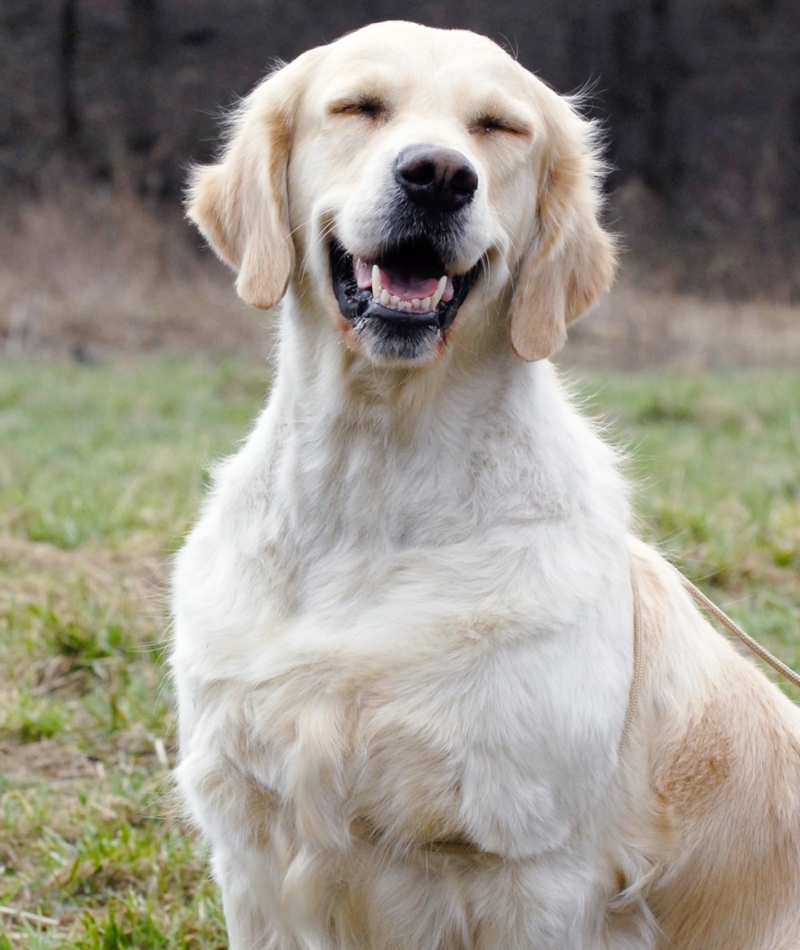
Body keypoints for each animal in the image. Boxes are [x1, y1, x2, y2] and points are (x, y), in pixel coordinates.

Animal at [172, 22, 800, 950]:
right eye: (359, 107)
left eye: (498, 127)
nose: (438, 175)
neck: (375, 479)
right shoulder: (250, 851)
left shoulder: (529, 870)